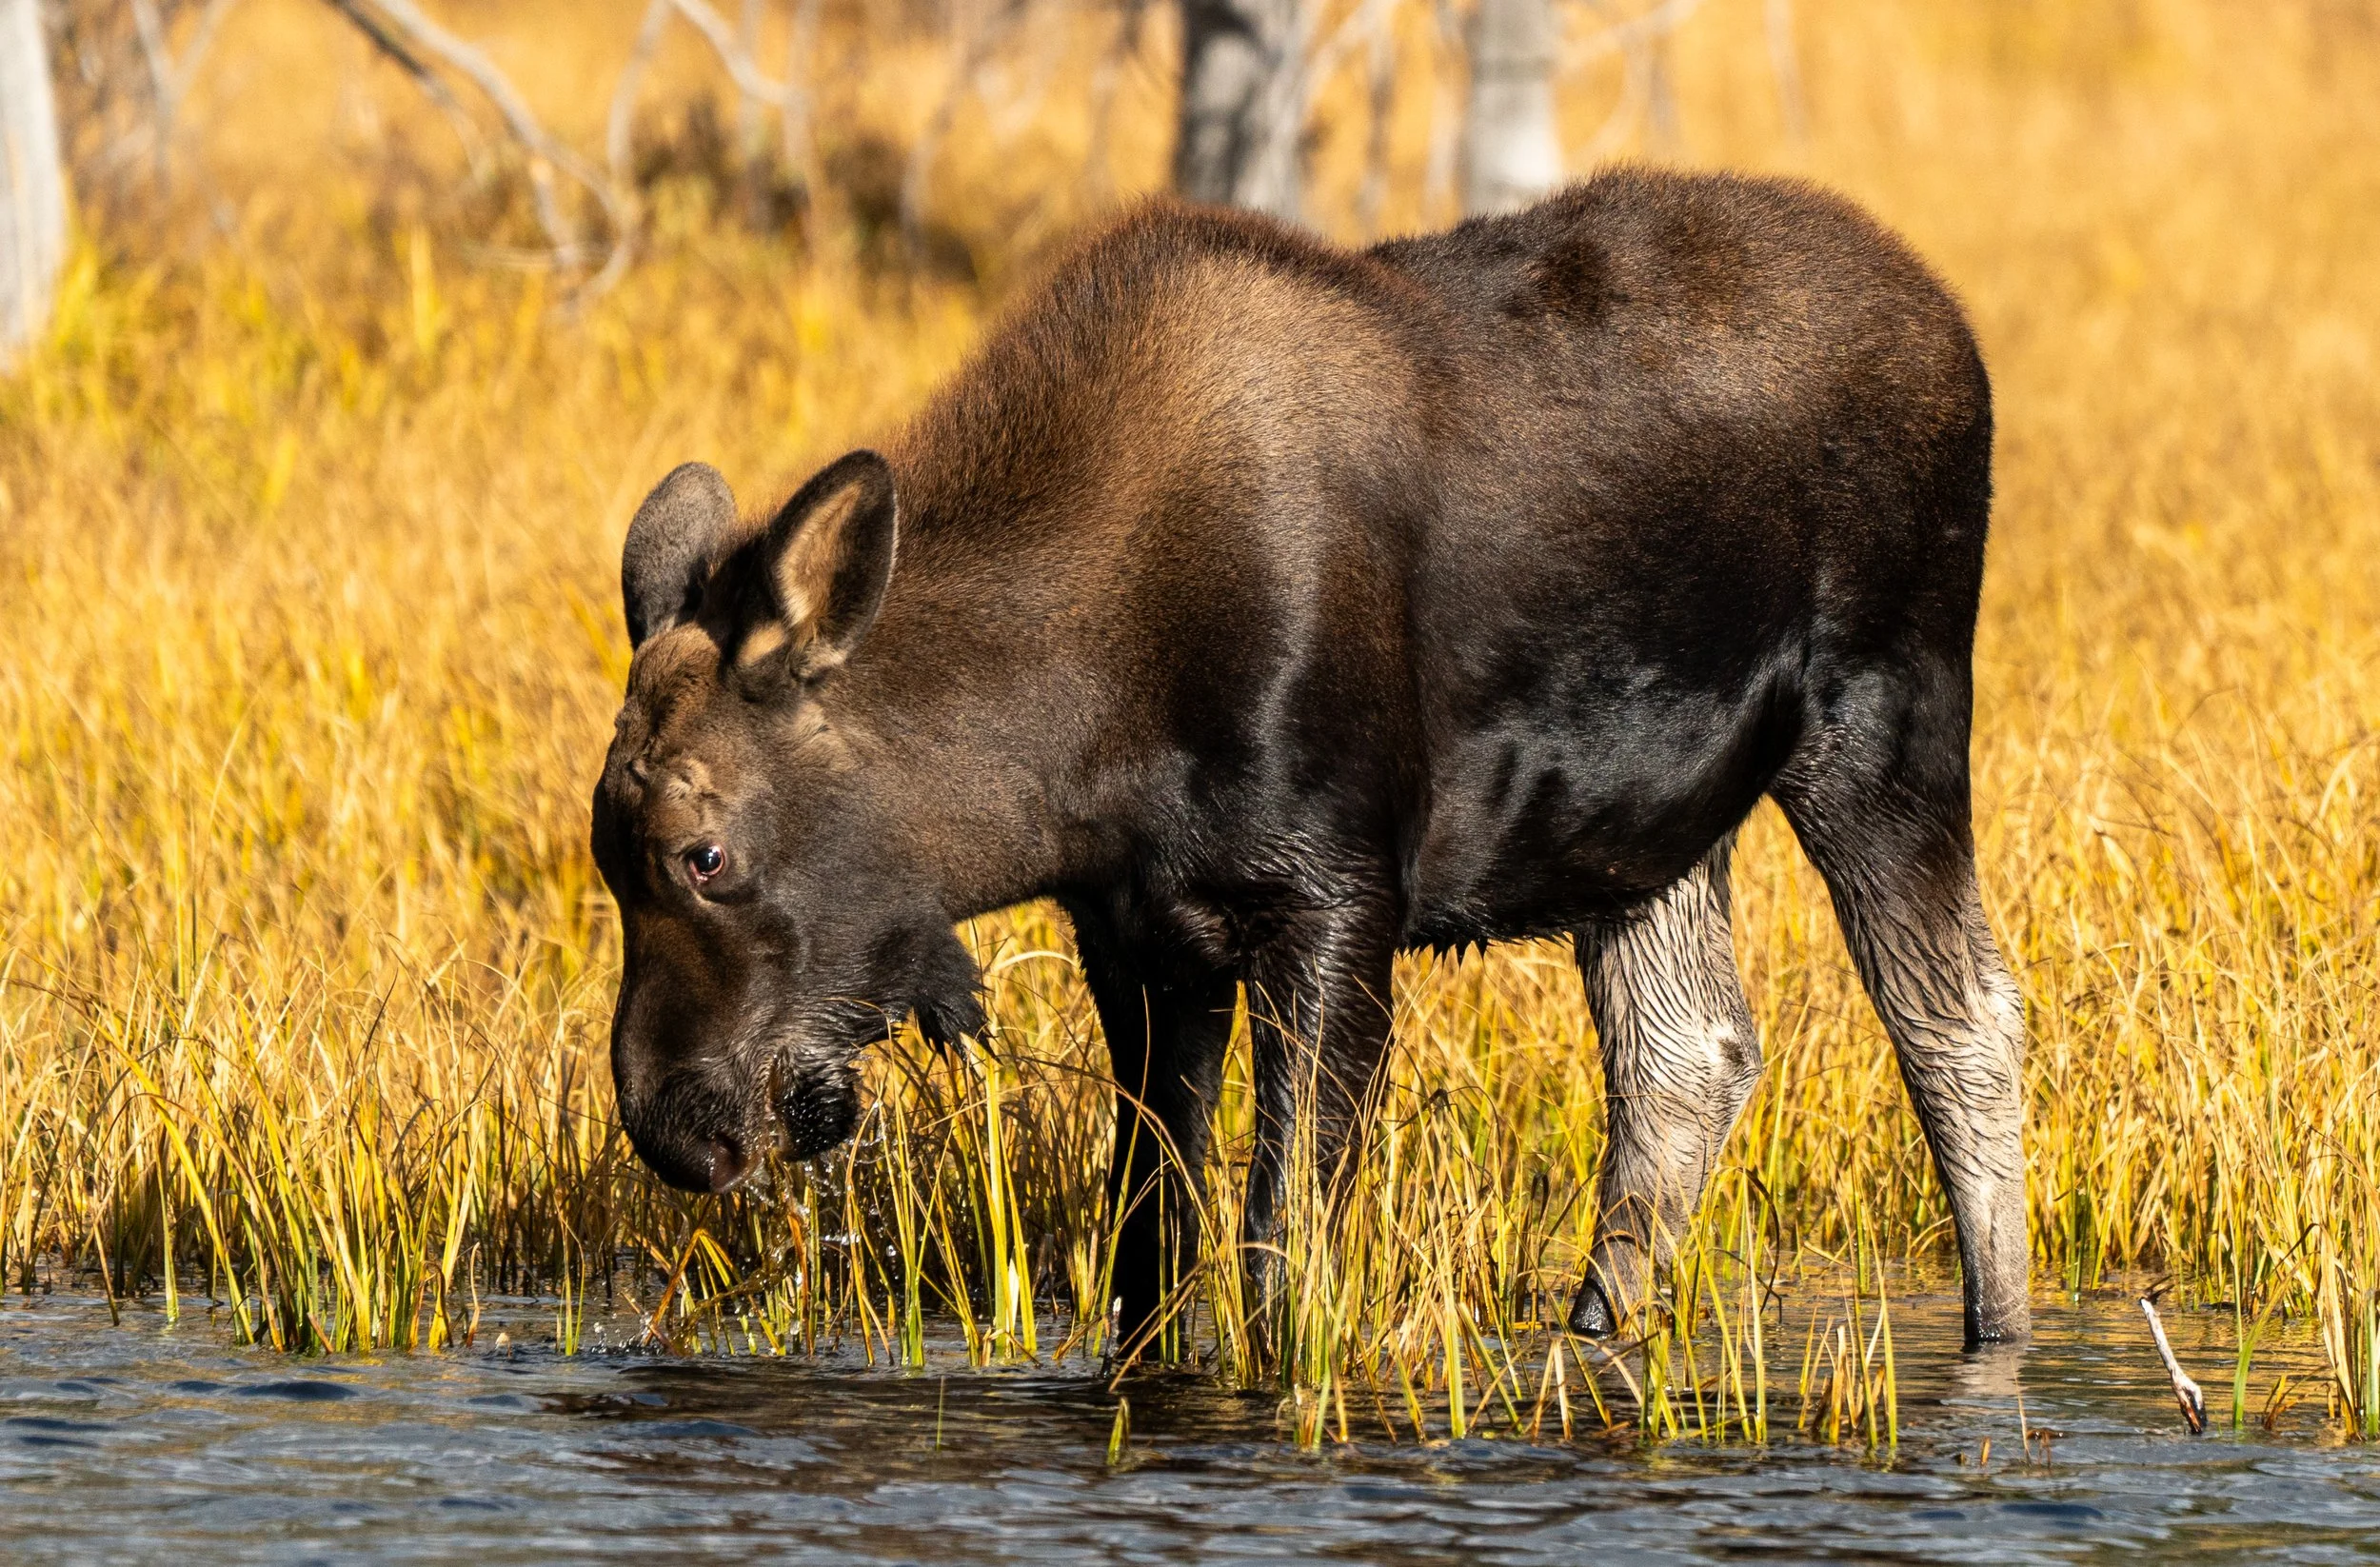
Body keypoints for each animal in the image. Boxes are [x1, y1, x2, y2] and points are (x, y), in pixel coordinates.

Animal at [588, 167, 2032, 1353]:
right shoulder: (1140, 935)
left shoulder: (1338, 896)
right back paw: (1594, 1337)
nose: (674, 1126)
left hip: (1886, 717)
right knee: (1690, 1053)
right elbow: (1151, 1246)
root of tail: (1959, 332)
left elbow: (1284, 1251)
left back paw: (1998, 1338)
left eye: (702, 852)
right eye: (607, 862)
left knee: (1961, 1024)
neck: (1081, 741)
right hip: (1651, 828)